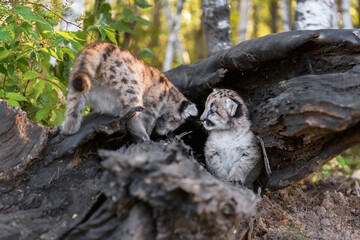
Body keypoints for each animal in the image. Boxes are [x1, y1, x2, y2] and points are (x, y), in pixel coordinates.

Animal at [60, 42, 198, 142]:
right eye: (175, 121)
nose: (164, 133)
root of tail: (102, 44)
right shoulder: (151, 108)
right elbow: (147, 122)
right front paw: (147, 136)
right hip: (130, 83)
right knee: (130, 112)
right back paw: (143, 138)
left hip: (77, 83)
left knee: (73, 107)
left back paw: (68, 130)